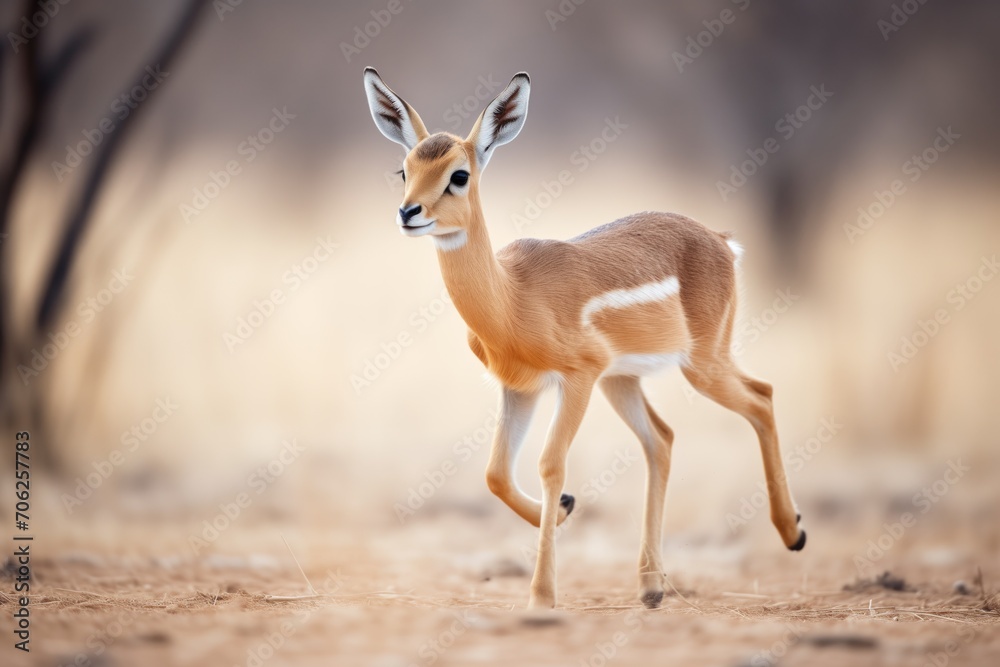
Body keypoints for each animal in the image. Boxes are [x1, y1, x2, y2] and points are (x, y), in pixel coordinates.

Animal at [363, 68, 805, 610]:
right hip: (624, 380)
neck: (513, 297)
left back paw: (793, 533)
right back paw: (651, 586)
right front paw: (565, 511)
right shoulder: (521, 388)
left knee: (761, 397)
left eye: (459, 174)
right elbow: (495, 473)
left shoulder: (577, 378)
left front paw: (542, 596)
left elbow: (551, 464)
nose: (409, 213)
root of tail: (721, 240)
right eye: (404, 170)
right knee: (662, 439)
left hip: (700, 365)